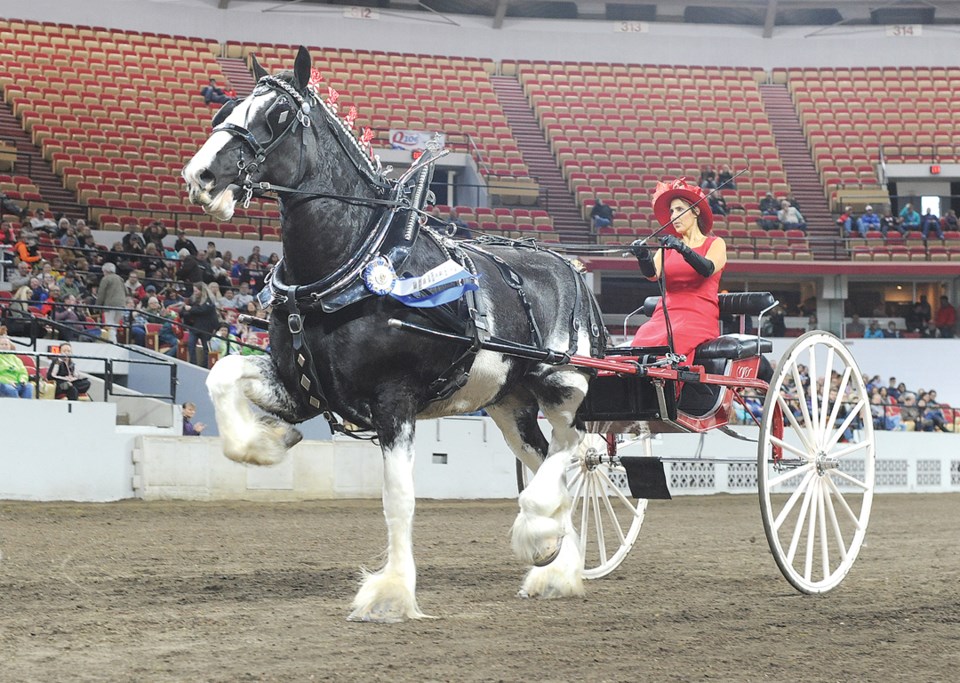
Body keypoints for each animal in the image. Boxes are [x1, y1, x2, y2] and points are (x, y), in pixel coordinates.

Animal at [183, 46, 604, 624]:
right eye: (224, 110)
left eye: (279, 115)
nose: (200, 175)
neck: (354, 263)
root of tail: (572, 268)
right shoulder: (302, 387)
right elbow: (222, 374)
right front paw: (268, 442)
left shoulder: (394, 399)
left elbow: (398, 498)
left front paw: (392, 592)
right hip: (508, 403)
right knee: (551, 457)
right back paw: (557, 564)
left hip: (561, 382)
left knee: (580, 446)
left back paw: (540, 533)